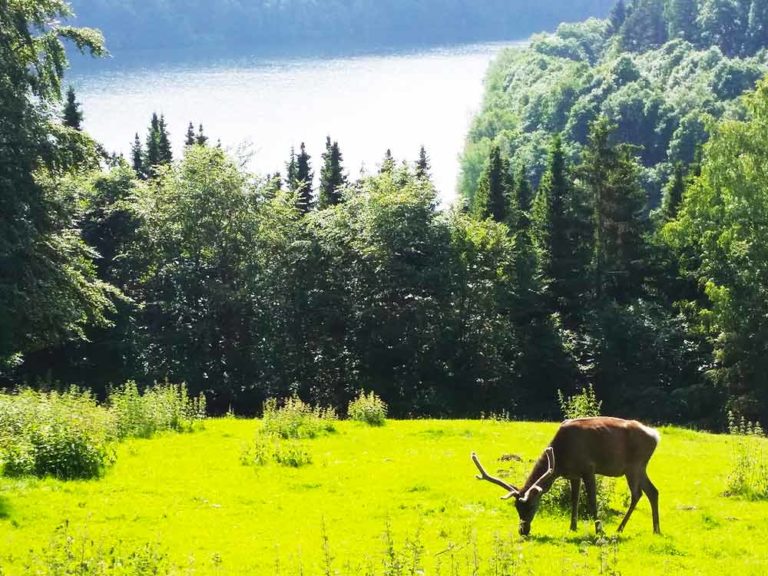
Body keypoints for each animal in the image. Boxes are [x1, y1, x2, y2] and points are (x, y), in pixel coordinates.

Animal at [472, 418, 664, 536]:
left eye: (532, 506)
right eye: (517, 508)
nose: (523, 530)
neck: (561, 459)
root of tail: (655, 436)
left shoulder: (588, 468)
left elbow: (592, 501)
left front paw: (599, 530)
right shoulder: (574, 474)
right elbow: (574, 500)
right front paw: (572, 527)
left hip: (634, 465)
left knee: (637, 494)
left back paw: (619, 528)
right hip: (640, 467)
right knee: (653, 491)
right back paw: (656, 529)